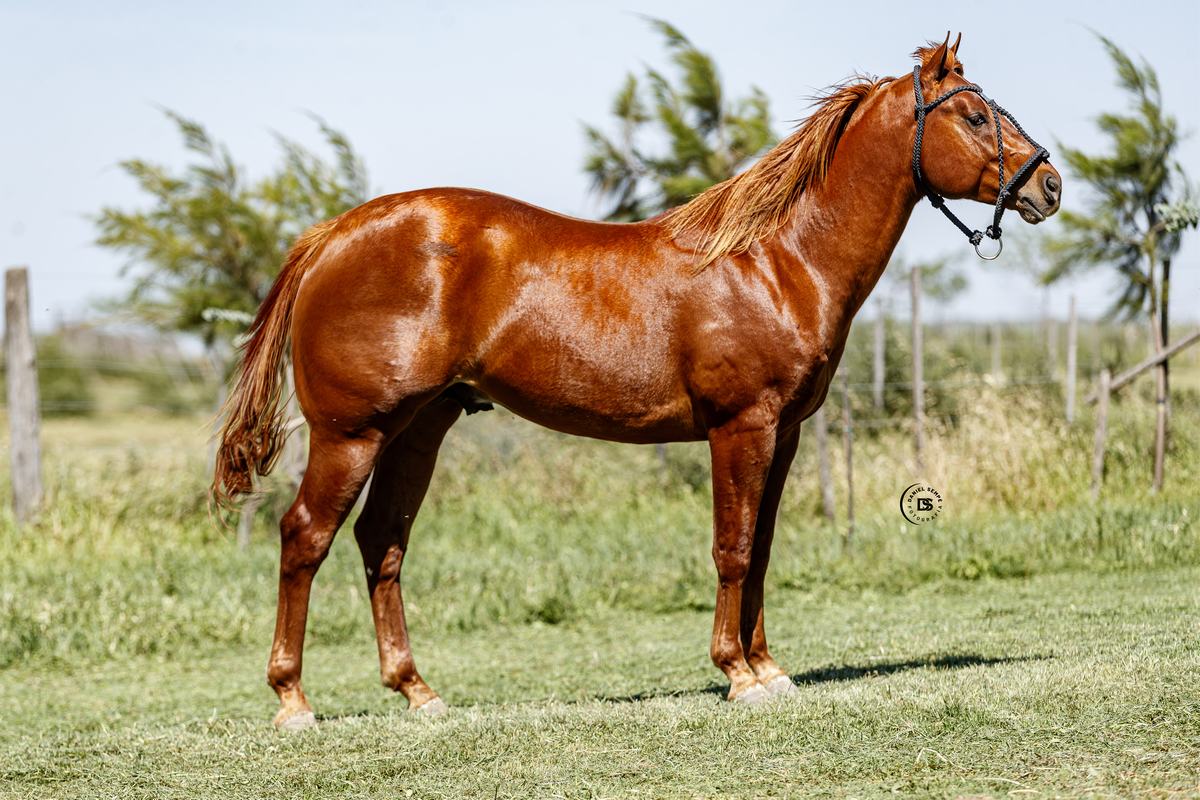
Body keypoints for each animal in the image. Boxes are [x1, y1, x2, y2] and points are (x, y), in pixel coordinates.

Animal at [212, 34, 1061, 730]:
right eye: (975, 116)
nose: (1048, 186)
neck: (775, 262)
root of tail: (331, 237)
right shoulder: (740, 427)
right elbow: (732, 547)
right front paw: (737, 675)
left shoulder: (783, 435)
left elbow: (763, 547)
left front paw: (769, 667)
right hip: (351, 434)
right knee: (305, 537)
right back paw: (293, 701)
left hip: (418, 429)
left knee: (381, 541)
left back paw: (417, 691)